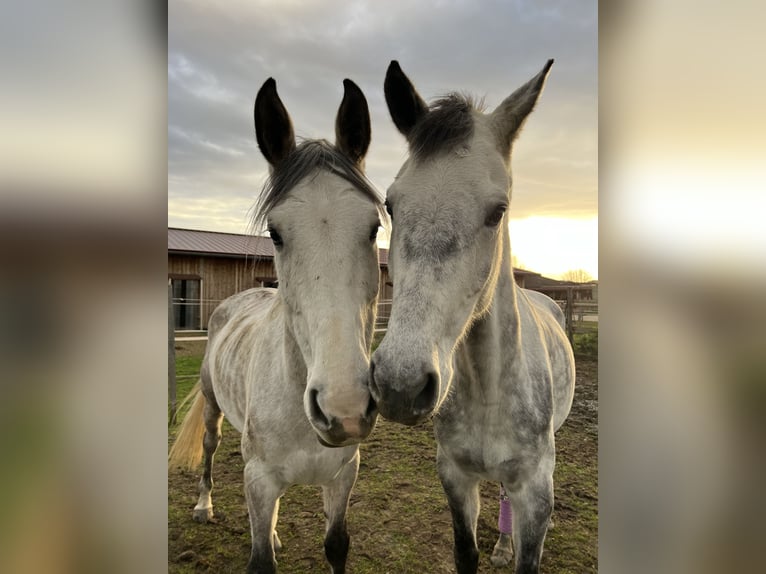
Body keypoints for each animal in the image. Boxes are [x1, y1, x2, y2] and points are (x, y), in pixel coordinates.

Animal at [168, 77, 384, 574]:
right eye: (275, 233)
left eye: (374, 228)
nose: (344, 409)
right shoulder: (259, 480)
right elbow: (260, 560)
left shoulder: (343, 478)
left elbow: (336, 546)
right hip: (213, 408)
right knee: (209, 448)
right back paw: (204, 506)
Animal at [370, 60, 576, 572]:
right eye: (391, 204)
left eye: (497, 211)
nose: (400, 385)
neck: (488, 392)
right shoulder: (455, 478)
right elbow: (466, 552)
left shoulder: (536, 494)